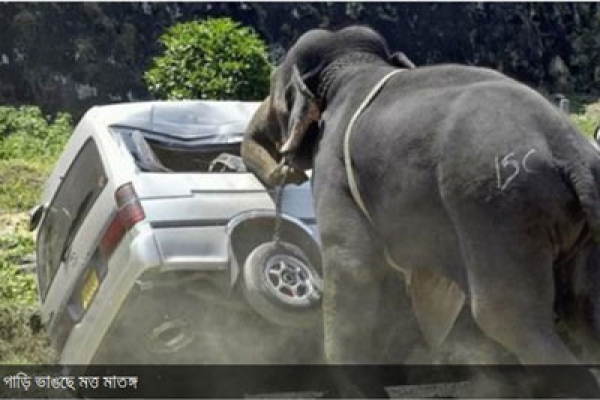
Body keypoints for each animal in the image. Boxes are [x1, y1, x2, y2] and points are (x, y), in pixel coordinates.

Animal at [241, 25, 600, 396]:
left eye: (274, 90)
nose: (286, 172)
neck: (356, 65)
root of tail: (569, 152)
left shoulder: (334, 168)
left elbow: (353, 266)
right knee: (584, 308)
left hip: (497, 207)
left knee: (506, 316)